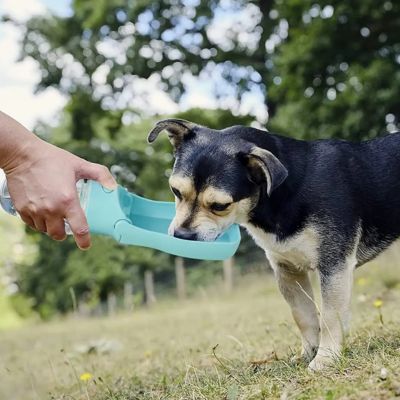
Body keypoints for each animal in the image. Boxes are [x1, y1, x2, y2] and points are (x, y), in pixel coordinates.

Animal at [147, 119, 400, 372]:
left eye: (220, 206)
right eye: (176, 191)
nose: (182, 235)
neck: (285, 192)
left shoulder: (334, 265)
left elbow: (330, 316)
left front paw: (325, 359)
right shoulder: (287, 270)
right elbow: (304, 315)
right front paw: (308, 353)